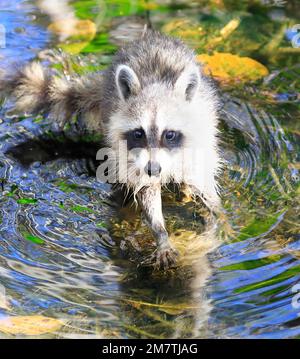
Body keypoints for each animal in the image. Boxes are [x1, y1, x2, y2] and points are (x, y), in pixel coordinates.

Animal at [0, 31, 220, 268]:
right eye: (138, 133)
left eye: (169, 134)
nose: (153, 169)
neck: (156, 83)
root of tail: (151, 36)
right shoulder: (132, 156)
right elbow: (146, 191)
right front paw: (160, 233)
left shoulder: (199, 144)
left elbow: (205, 186)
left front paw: (215, 217)